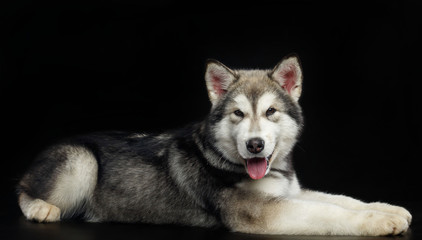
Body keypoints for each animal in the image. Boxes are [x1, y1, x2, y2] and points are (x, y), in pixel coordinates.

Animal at [17, 54, 412, 234]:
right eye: (238, 114)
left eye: (270, 112)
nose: (255, 145)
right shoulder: (264, 213)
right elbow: (329, 212)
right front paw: (378, 222)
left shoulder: (291, 192)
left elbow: (342, 199)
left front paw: (387, 208)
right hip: (80, 161)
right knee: (22, 188)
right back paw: (41, 208)